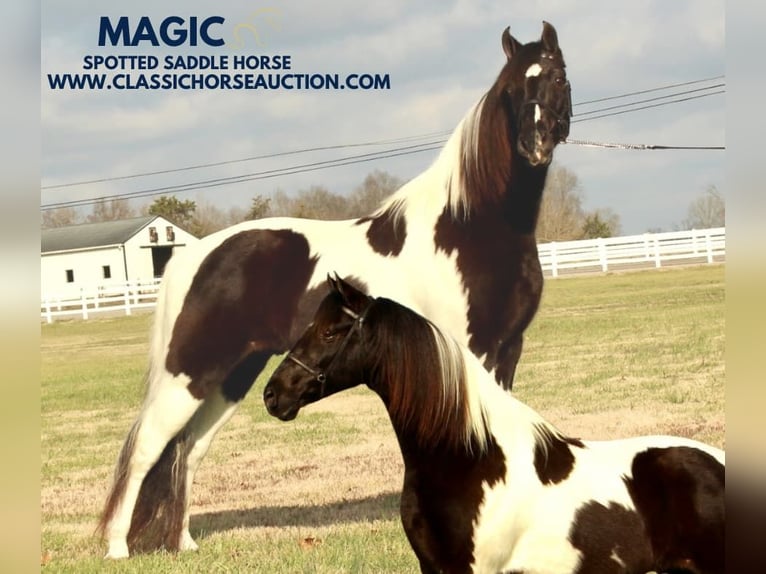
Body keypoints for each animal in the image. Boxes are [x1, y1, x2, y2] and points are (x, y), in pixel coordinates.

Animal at [97, 21, 576, 560]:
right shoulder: (474, 348)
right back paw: (117, 548)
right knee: (145, 450)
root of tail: (191, 257)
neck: (466, 227)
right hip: (188, 375)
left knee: (188, 450)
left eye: (557, 77)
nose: (535, 143)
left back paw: (184, 543)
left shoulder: (508, 347)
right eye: (512, 90)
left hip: (230, 377)